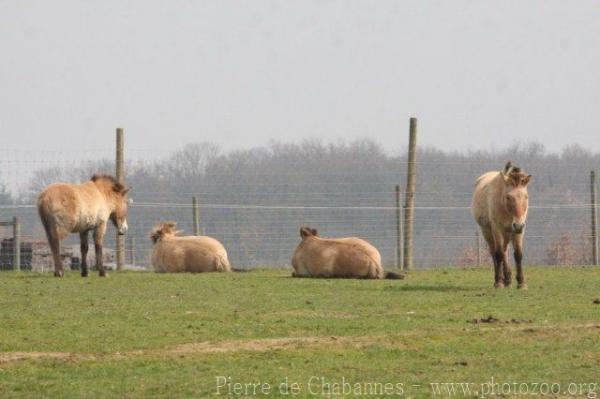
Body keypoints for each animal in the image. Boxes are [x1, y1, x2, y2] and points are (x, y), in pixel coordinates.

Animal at [472, 161, 532, 290]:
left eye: (526, 197)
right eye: (508, 197)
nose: (518, 225)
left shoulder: (519, 231)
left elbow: (518, 254)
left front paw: (521, 283)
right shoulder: (497, 229)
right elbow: (498, 254)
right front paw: (499, 283)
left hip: (508, 233)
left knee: (505, 251)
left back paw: (508, 280)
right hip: (487, 231)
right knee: (494, 252)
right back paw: (499, 280)